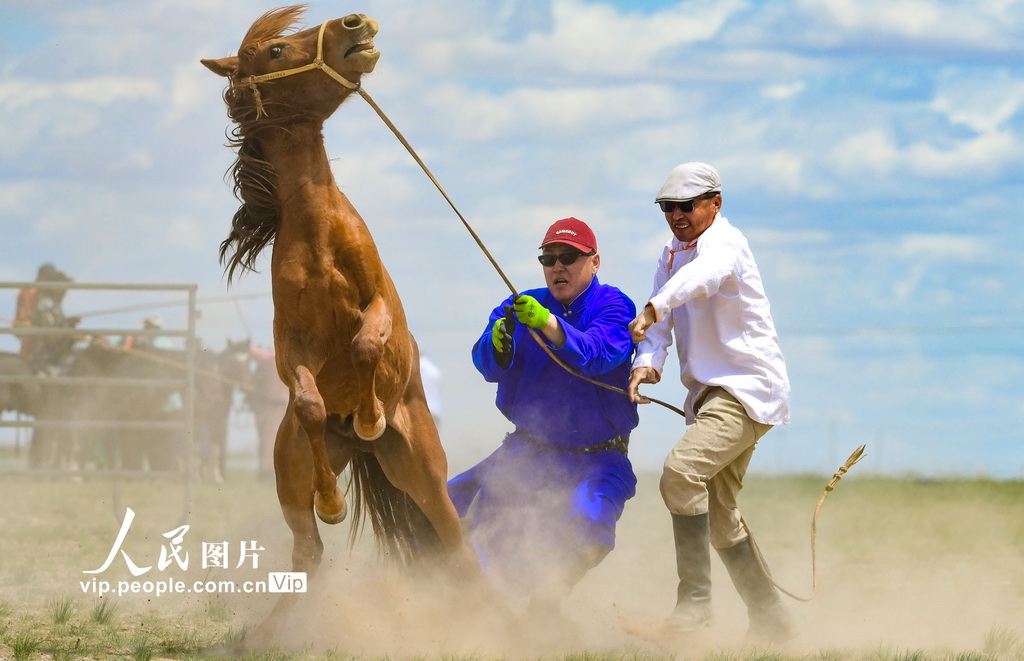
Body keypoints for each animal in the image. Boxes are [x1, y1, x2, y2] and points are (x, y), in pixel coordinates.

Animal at [202, 6, 476, 645]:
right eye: (276, 50)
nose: (356, 22)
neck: (319, 235)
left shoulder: (380, 303)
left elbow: (369, 341)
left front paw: (371, 412)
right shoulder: (290, 347)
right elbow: (306, 398)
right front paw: (331, 499)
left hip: (423, 470)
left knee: (457, 547)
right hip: (290, 470)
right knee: (309, 552)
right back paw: (266, 635)